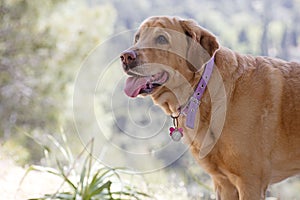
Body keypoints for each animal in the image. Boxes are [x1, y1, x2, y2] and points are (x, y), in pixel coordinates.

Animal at [119, 16, 300, 199]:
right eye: (137, 38)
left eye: (161, 39)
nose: (125, 56)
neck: (201, 89)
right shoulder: (223, 182)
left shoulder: (250, 182)